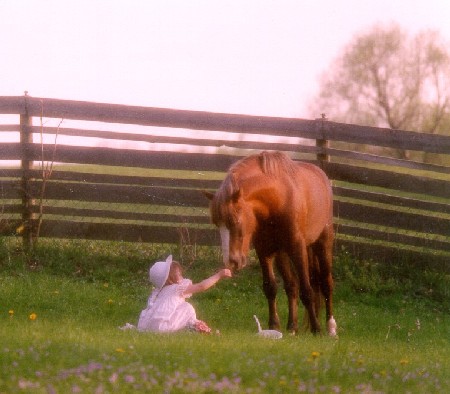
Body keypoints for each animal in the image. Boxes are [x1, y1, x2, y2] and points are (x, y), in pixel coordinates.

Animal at [206, 151, 336, 336]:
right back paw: (292, 327)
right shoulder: (264, 250)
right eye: (218, 224)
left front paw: (316, 329)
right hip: (282, 252)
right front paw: (274, 325)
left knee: (326, 283)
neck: (277, 199)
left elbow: (307, 290)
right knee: (291, 285)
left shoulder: (297, 248)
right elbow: (271, 287)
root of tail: (321, 175)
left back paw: (330, 327)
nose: (232, 261)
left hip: (323, 242)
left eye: (235, 221)